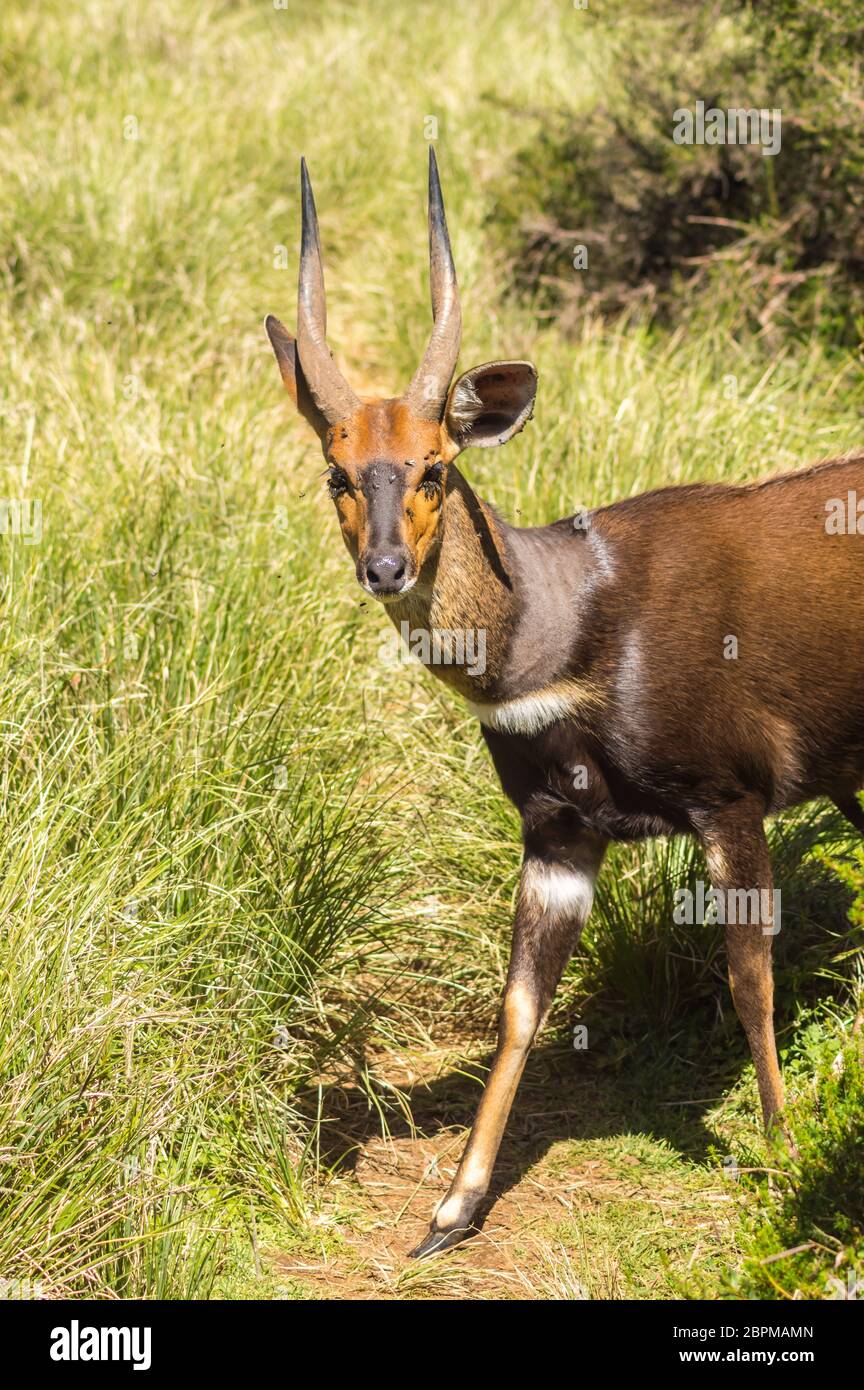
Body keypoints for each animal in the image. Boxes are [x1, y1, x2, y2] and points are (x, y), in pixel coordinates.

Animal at [268, 146, 864, 1256]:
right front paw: (451, 1209)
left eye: (434, 465)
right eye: (336, 469)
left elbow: (749, 979)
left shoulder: (733, 797)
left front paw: (784, 1158)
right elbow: (516, 1006)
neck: (577, 625)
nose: (384, 565)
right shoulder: (558, 831)